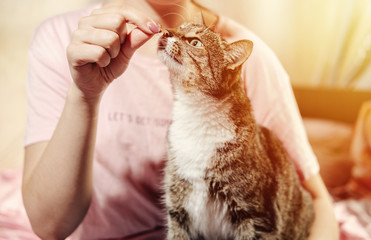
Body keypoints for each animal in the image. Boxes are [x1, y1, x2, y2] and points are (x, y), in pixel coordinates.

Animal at [157, 15, 314, 240]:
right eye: (179, 27)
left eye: (195, 42)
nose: (166, 31)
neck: (195, 115)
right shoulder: (177, 207)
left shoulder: (258, 217)